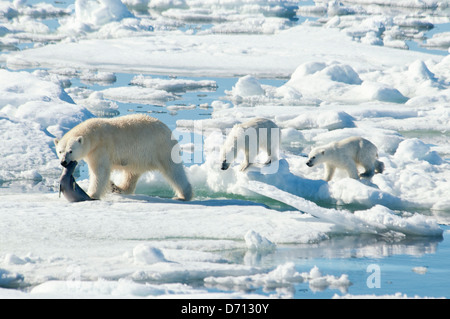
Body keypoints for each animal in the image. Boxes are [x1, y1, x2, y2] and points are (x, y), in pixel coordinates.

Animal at [54, 114, 192, 201]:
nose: (63, 162)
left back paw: (183, 196)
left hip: (161, 148)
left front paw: (92, 194)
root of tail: (168, 129)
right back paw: (118, 188)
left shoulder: (101, 149)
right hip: (138, 158)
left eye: (70, 151)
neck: (94, 134)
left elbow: (99, 172)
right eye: (60, 151)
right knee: (131, 174)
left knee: (174, 171)